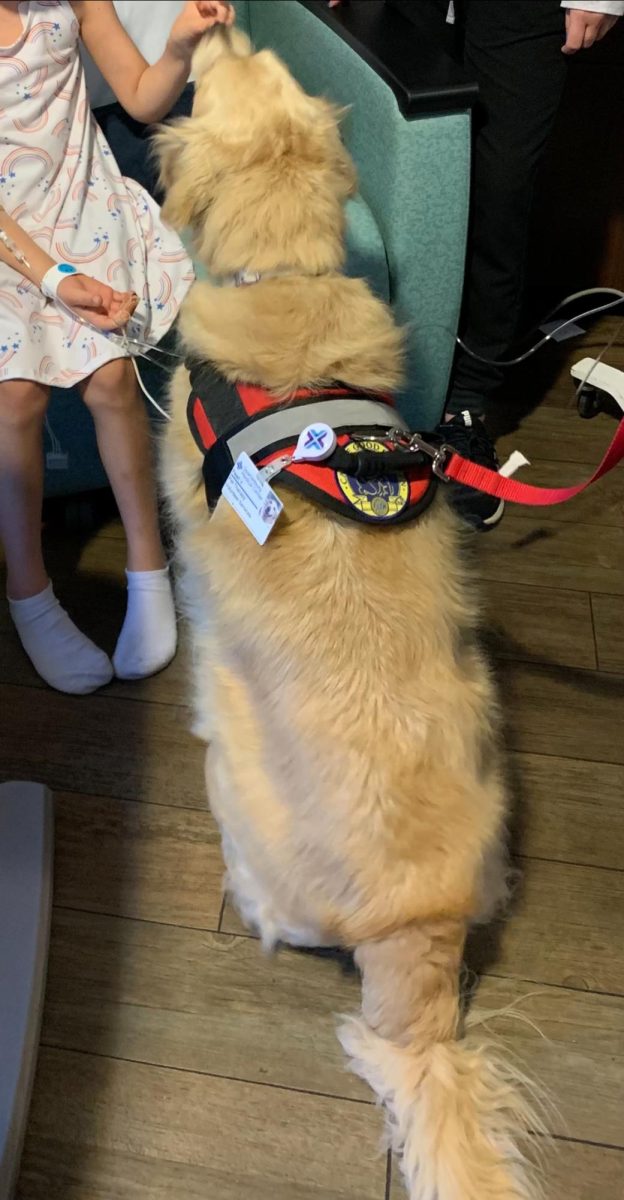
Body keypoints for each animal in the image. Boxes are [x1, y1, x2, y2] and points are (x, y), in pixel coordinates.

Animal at [154, 25, 540, 1200]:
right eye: (268, 61)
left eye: (211, 81)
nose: (220, 22)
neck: (287, 283)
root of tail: (415, 928)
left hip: (237, 790)